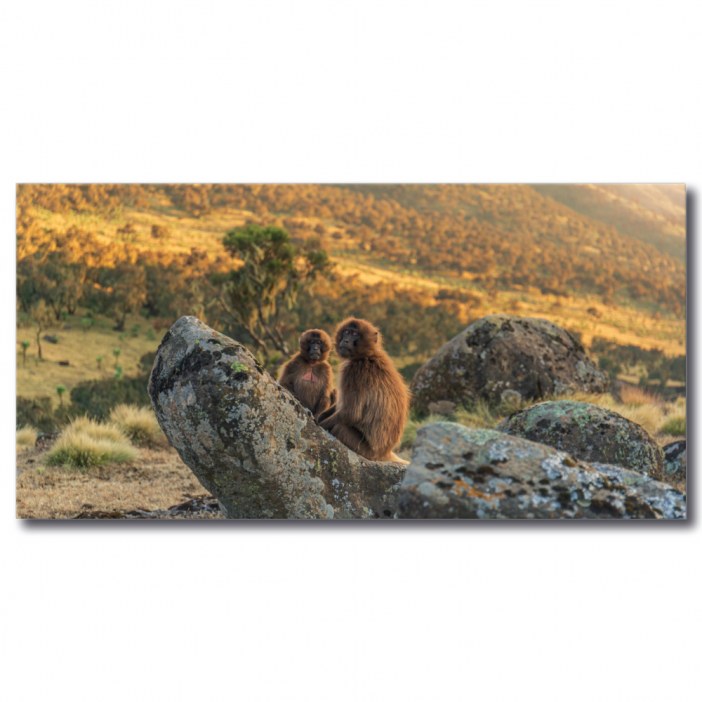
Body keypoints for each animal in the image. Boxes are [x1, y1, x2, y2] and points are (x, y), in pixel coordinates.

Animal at [318, 318, 410, 463]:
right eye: (347, 332)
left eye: (355, 334)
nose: (346, 340)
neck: (367, 355)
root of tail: (385, 453)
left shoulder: (354, 372)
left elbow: (351, 413)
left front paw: (319, 423)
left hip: (364, 450)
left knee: (340, 428)